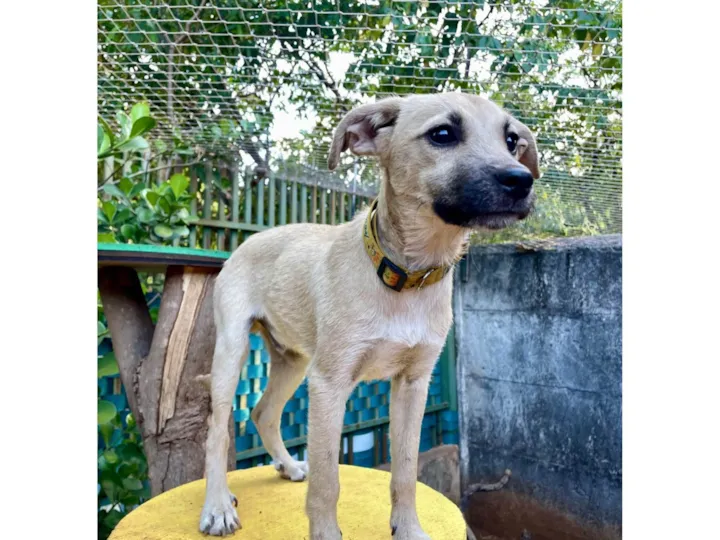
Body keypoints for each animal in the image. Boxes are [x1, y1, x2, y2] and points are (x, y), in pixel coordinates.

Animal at [198, 92, 540, 539]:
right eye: (442, 134)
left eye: (512, 139)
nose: (521, 180)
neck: (407, 276)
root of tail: (249, 239)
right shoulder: (330, 383)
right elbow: (328, 481)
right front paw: (326, 534)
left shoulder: (413, 383)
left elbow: (406, 471)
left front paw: (409, 529)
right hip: (232, 350)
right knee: (217, 430)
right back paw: (218, 505)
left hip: (293, 360)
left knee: (263, 412)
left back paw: (287, 466)